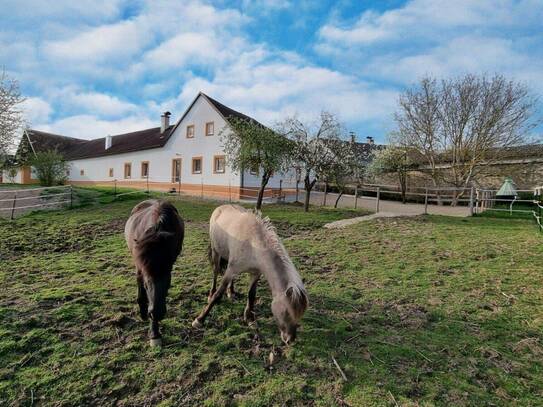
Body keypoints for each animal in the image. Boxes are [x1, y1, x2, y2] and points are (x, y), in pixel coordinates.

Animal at [193, 206, 308, 346]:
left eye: (300, 314)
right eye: (287, 312)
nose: (289, 339)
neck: (254, 245)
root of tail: (220, 208)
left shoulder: (255, 273)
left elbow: (251, 295)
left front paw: (249, 318)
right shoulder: (231, 270)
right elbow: (218, 294)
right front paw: (199, 320)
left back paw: (231, 292)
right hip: (216, 252)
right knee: (215, 272)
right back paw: (211, 293)